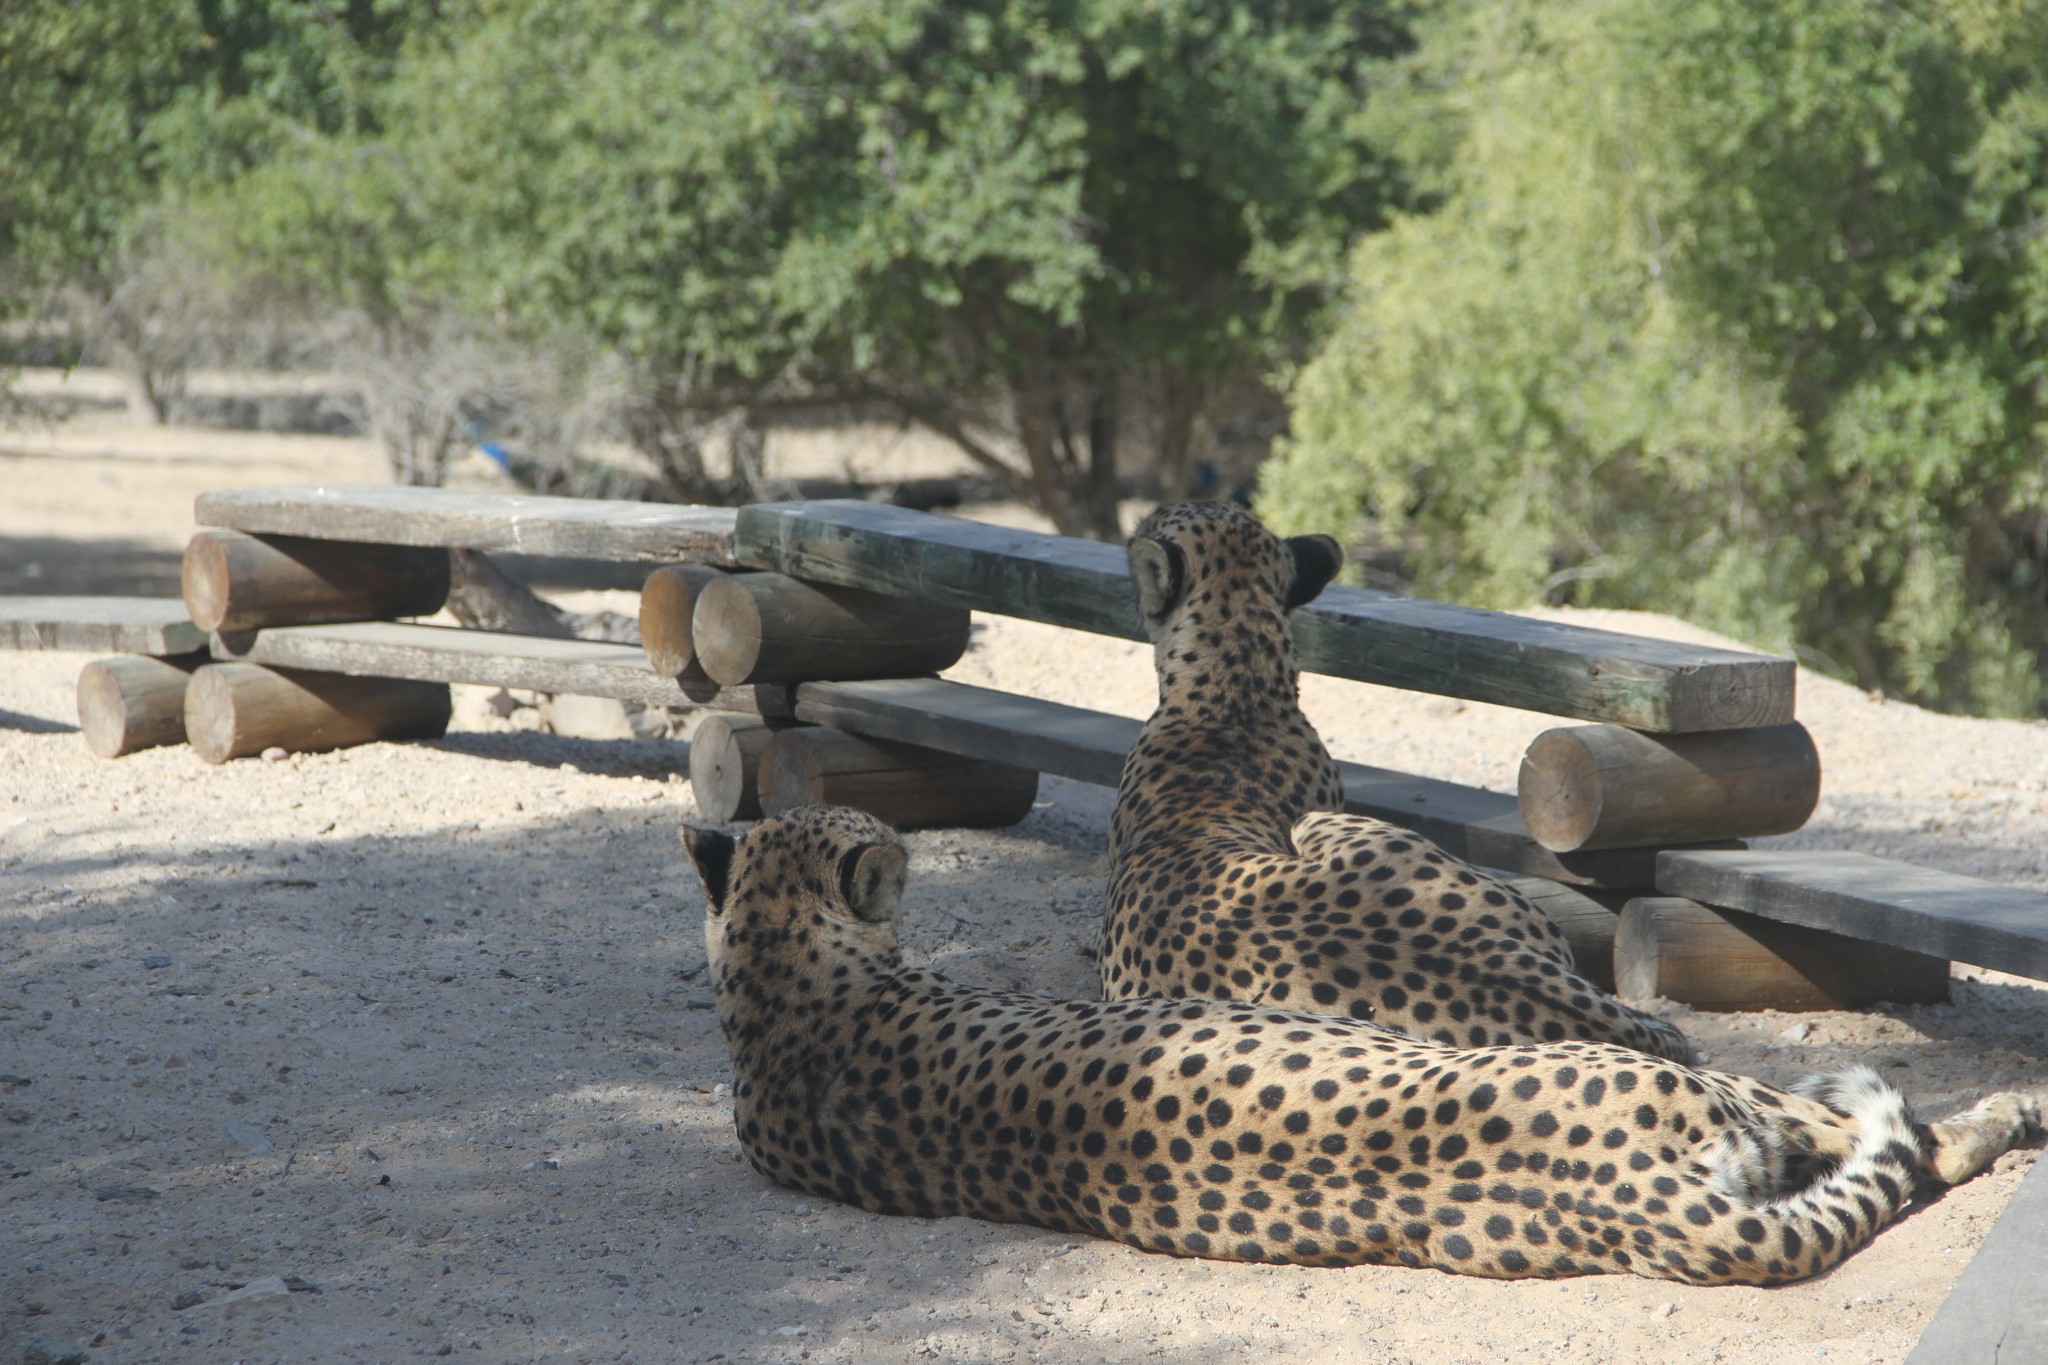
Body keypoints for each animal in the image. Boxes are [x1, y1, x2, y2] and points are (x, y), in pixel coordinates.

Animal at [684, 810, 2031, 1293]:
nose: (898, 850)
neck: (777, 995)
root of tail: (1632, 1205)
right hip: (1708, 1088)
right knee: (1896, 1138)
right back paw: (2006, 1113)